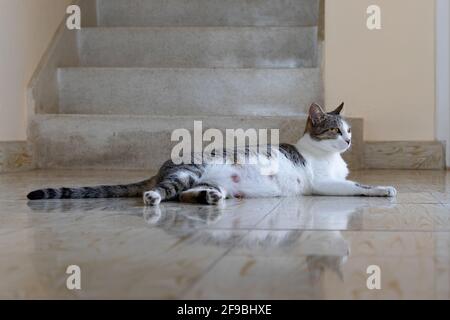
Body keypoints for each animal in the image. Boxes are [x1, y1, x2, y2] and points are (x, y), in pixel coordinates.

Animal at [26, 102, 396, 205]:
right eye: (335, 130)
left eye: (350, 131)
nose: (348, 141)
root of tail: (162, 165)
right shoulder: (323, 183)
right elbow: (357, 186)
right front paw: (384, 188)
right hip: (186, 171)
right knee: (164, 191)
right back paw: (153, 197)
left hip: (209, 182)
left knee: (188, 195)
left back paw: (210, 197)